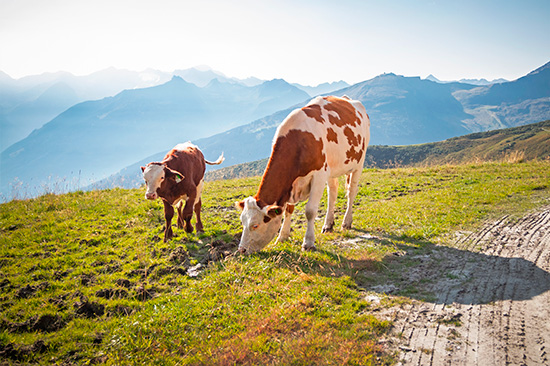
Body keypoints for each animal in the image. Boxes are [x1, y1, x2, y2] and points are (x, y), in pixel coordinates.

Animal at [236, 96, 370, 253]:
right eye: (242, 222)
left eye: (255, 225)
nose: (241, 250)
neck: (299, 141)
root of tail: (348, 99)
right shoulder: (291, 184)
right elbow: (288, 209)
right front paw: (282, 237)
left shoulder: (319, 175)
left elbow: (310, 211)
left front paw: (308, 242)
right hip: (333, 168)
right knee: (333, 191)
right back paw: (328, 224)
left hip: (359, 162)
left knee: (351, 191)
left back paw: (346, 222)